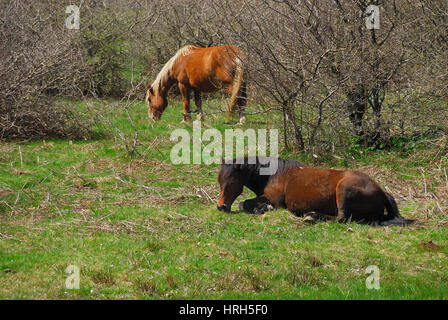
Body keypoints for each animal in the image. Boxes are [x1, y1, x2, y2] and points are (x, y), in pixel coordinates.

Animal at [215, 156, 414, 226]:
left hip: (344, 190)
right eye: (219, 181)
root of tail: (382, 192)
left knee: (342, 218)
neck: (273, 174)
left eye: (231, 182)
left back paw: (312, 216)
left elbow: (245, 204)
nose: (220, 207)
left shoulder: (273, 199)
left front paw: (263, 209)